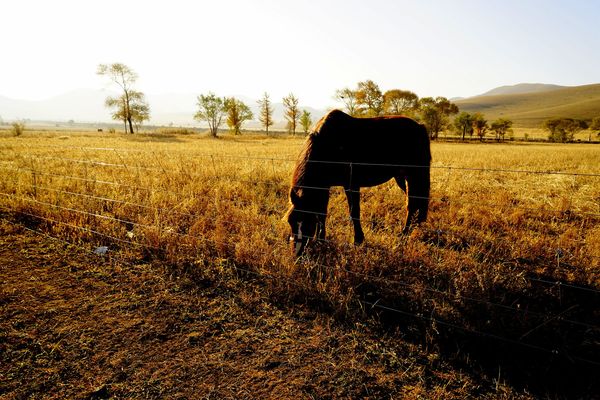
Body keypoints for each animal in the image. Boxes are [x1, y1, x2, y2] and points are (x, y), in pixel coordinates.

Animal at [286, 108, 432, 256]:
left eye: (307, 221)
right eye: (290, 221)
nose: (297, 253)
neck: (329, 145)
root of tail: (420, 126)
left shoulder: (351, 185)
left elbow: (354, 212)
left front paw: (358, 240)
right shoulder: (324, 187)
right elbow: (322, 214)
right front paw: (321, 240)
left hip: (414, 175)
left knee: (413, 204)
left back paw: (403, 236)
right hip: (402, 177)